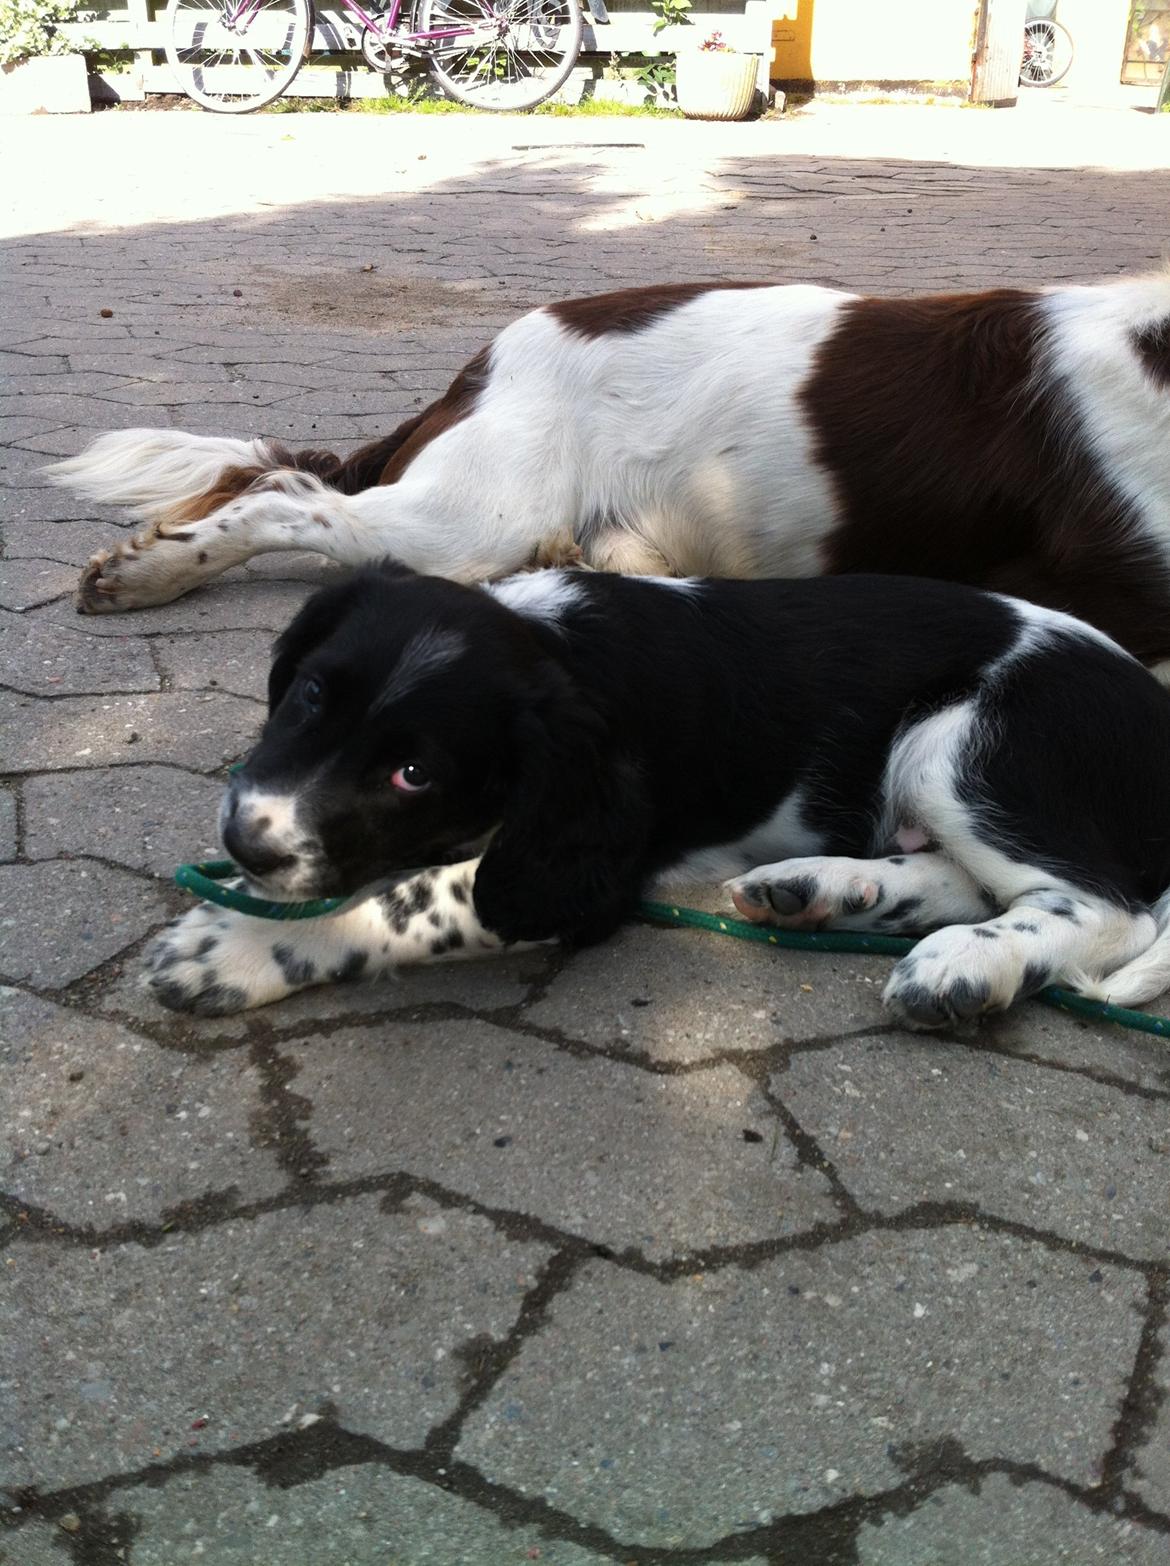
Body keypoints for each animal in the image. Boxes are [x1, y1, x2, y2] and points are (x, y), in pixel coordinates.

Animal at [148, 570, 1170, 1021]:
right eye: (312, 694)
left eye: (414, 774)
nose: (246, 842)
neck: (556, 644)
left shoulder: (582, 866)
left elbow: (417, 896)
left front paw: (239, 946)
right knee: (972, 878)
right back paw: (825, 889)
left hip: (961, 739)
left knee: (1105, 907)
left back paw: (968, 965)